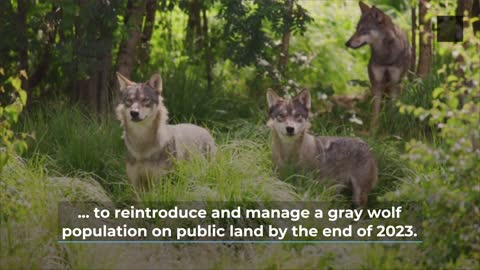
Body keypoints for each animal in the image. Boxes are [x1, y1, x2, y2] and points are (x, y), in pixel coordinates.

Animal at [346, 1, 410, 130]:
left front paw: (391, 124)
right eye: (356, 29)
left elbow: (392, 107)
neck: (385, 57)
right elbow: (375, 111)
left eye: (363, 30)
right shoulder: (376, 83)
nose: (347, 43)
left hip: (398, 84)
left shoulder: (394, 83)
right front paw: (374, 130)